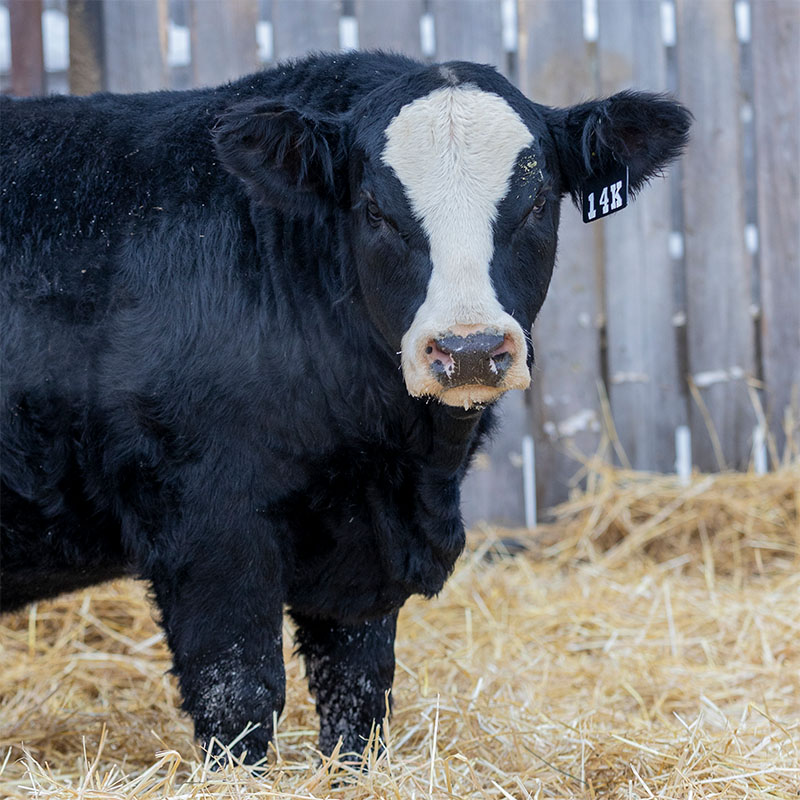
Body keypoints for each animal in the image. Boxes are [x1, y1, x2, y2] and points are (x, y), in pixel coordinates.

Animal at [0, 51, 690, 763]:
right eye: (375, 210)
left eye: (535, 203)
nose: (468, 349)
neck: (395, 459)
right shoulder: (205, 524)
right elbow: (237, 696)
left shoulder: (361, 556)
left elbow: (356, 694)